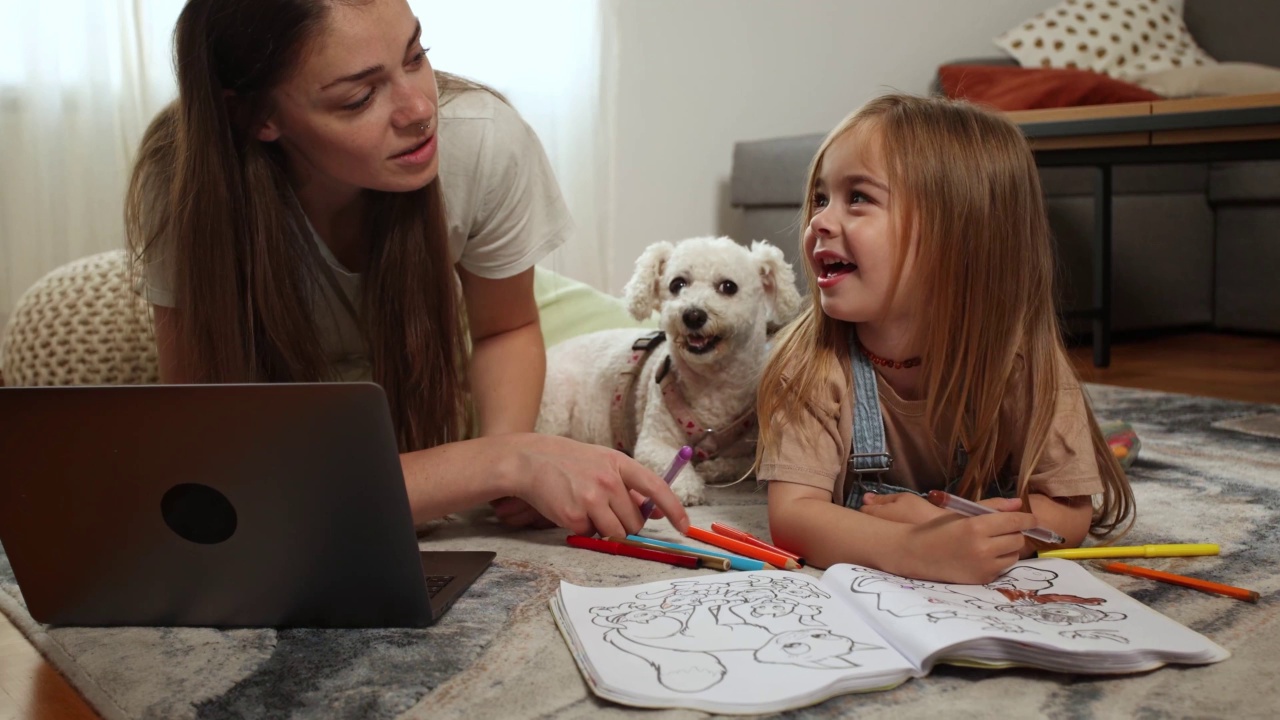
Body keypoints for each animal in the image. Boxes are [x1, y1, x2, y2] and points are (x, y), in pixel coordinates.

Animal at [537, 235, 798, 504]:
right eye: (677, 284)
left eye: (728, 287)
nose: (693, 315)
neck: (712, 387)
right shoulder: (653, 442)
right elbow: (672, 463)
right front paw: (687, 486)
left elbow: (746, 466)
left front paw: (714, 468)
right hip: (555, 407)